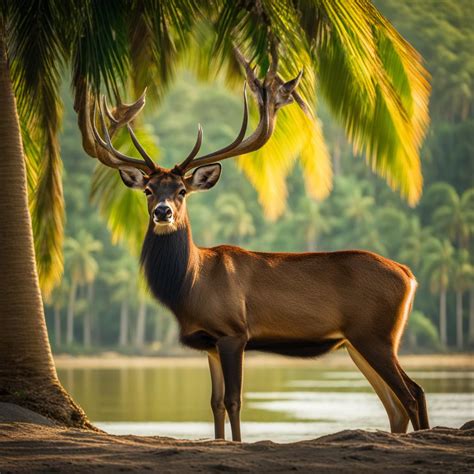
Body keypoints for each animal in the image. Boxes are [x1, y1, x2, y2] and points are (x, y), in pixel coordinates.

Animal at [75, 46, 430, 442]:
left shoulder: (234, 332)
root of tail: (409, 274)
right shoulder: (209, 342)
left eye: (182, 190)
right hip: (357, 342)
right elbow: (214, 403)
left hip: (376, 334)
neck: (191, 285)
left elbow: (234, 401)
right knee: (396, 404)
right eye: (149, 190)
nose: (162, 212)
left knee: (413, 393)